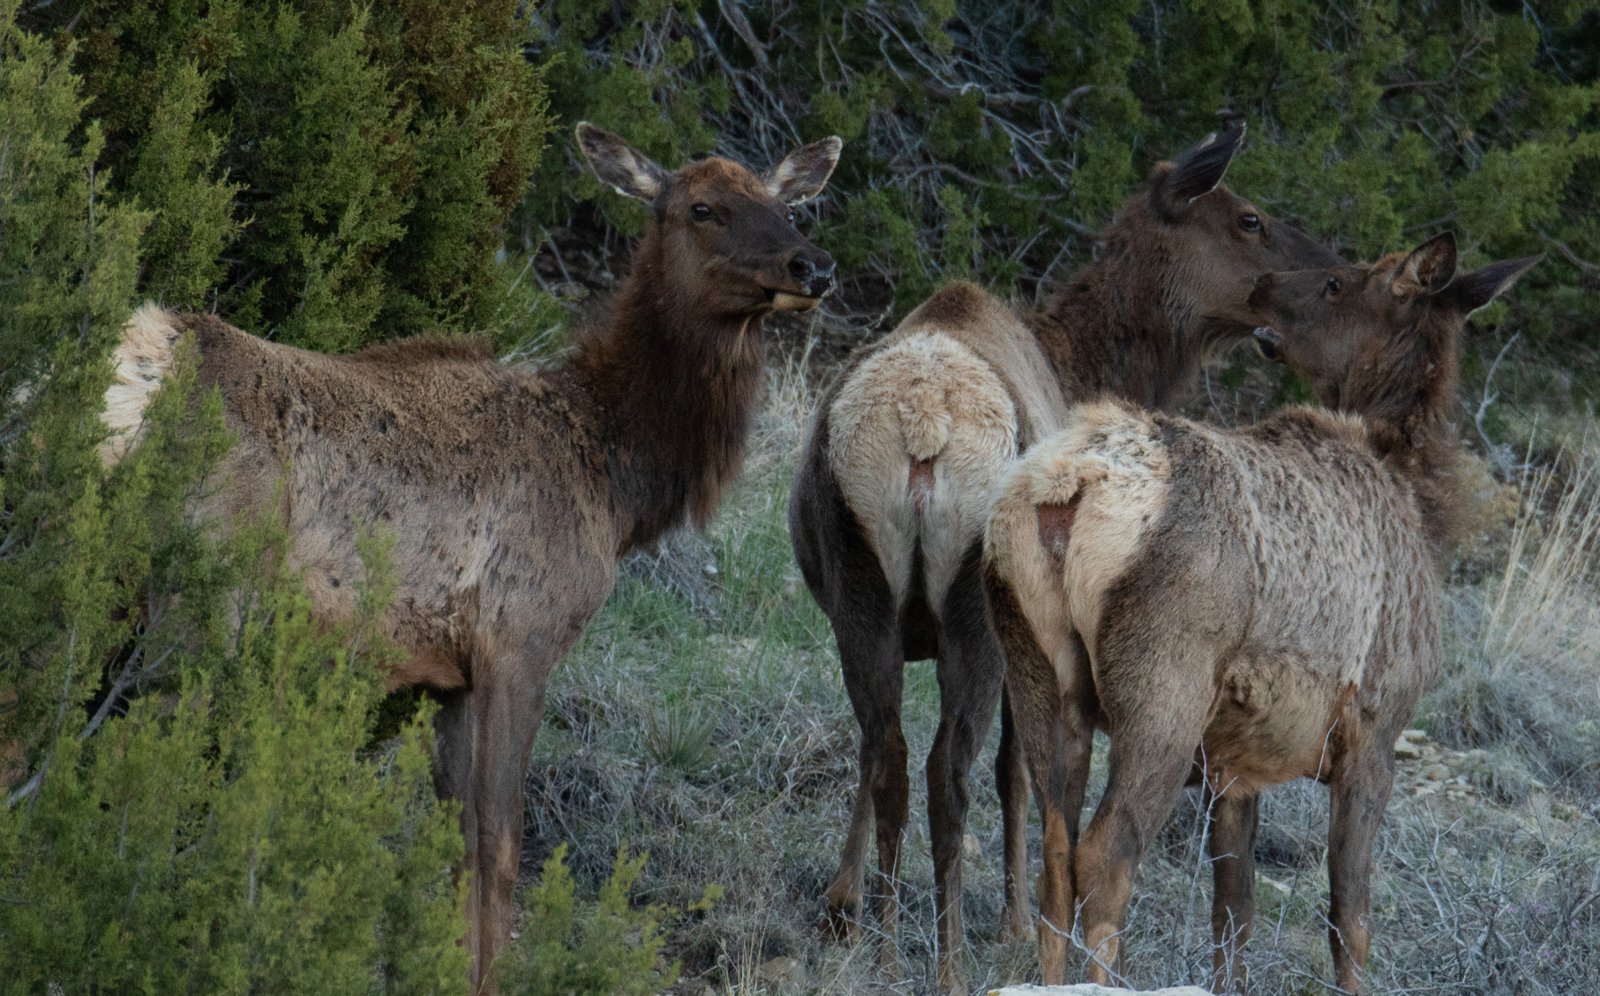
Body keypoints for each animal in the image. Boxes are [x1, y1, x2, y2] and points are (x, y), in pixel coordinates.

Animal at [96, 123, 843, 994]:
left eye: (784, 203)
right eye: (701, 207)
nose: (813, 266)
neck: (613, 477)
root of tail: (144, 364)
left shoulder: (446, 671)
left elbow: (454, 843)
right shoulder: (521, 635)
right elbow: (500, 843)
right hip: (202, 603)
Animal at [788, 122, 1343, 992]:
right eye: (1248, 218)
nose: (1331, 276)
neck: (1076, 361)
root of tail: (922, 425)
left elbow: (867, 755)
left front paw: (841, 905)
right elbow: (1018, 772)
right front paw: (1015, 923)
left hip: (860, 586)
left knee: (887, 751)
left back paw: (884, 946)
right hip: (971, 613)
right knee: (950, 771)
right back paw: (948, 960)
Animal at [982, 233, 1539, 992]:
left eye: (1337, 283)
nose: (1263, 284)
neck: (1423, 511)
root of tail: (1071, 486)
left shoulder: (1235, 763)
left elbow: (1234, 916)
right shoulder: (1375, 728)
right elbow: (1350, 921)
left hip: (1038, 670)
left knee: (1056, 853)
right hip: (1163, 688)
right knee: (1106, 854)